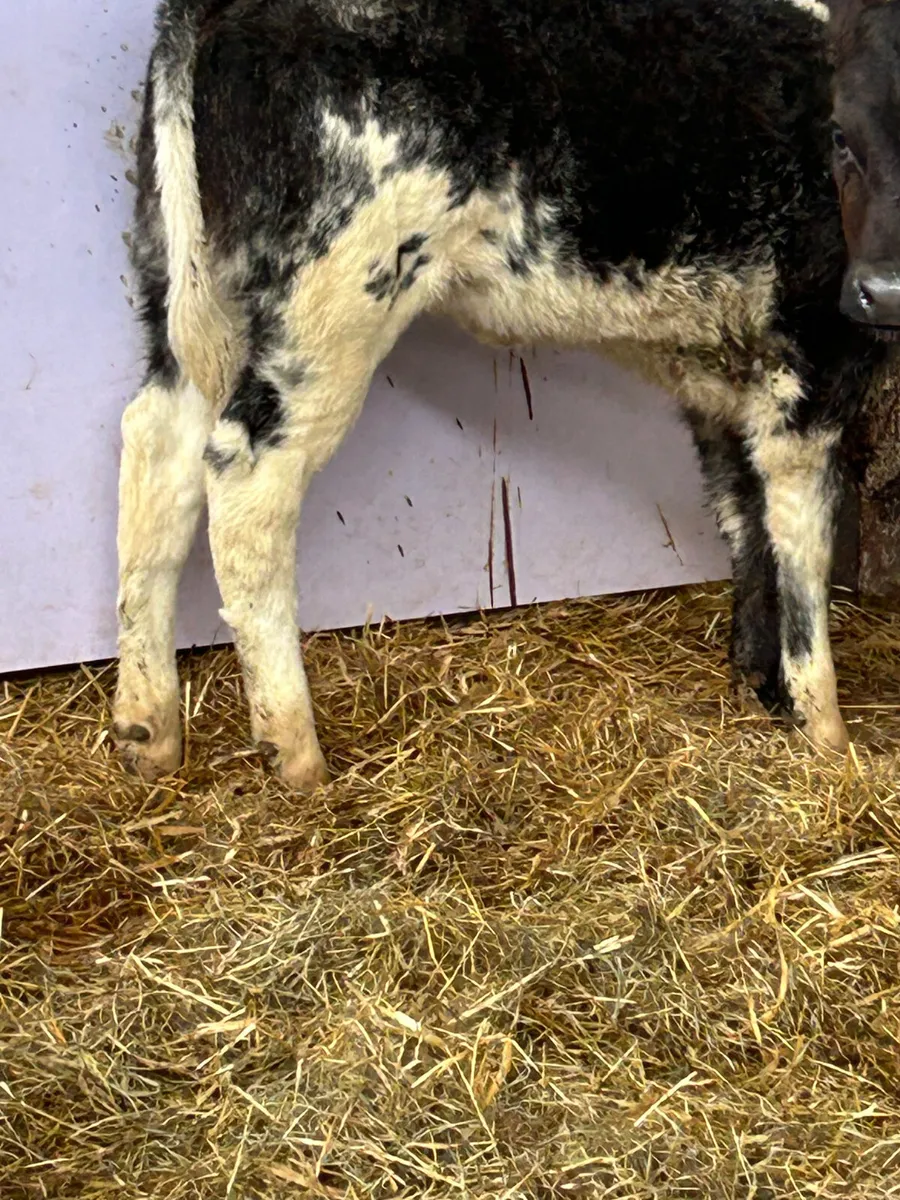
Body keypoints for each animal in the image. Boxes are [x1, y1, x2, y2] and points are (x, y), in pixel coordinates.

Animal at [112, 0, 893, 793]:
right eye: (844, 136)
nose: (881, 288)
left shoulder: (724, 372)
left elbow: (747, 522)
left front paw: (758, 691)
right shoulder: (815, 360)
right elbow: (803, 546)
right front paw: (827, 735)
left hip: (184, 284)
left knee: (156, 453)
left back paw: (148, 727)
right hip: (329, 301)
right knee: (247, 482)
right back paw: (293, 749)